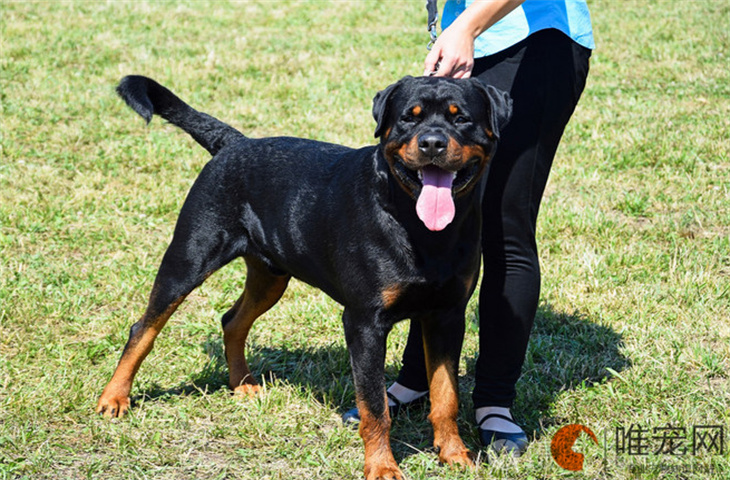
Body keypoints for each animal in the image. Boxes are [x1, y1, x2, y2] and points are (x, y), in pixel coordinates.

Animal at [96, 75, 510, 480]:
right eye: (410, 117)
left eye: (461, 119)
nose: (432, 143)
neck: (419, 225)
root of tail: (235, 143)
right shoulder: (365, 322)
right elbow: (376, 408)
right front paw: (382, 467)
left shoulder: (447, 315)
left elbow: (445, 395)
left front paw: (455, 455)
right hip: (189, 256)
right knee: (144, 327)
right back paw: (113, 398)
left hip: (270, 275)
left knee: (232, 321)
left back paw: (242, 385)